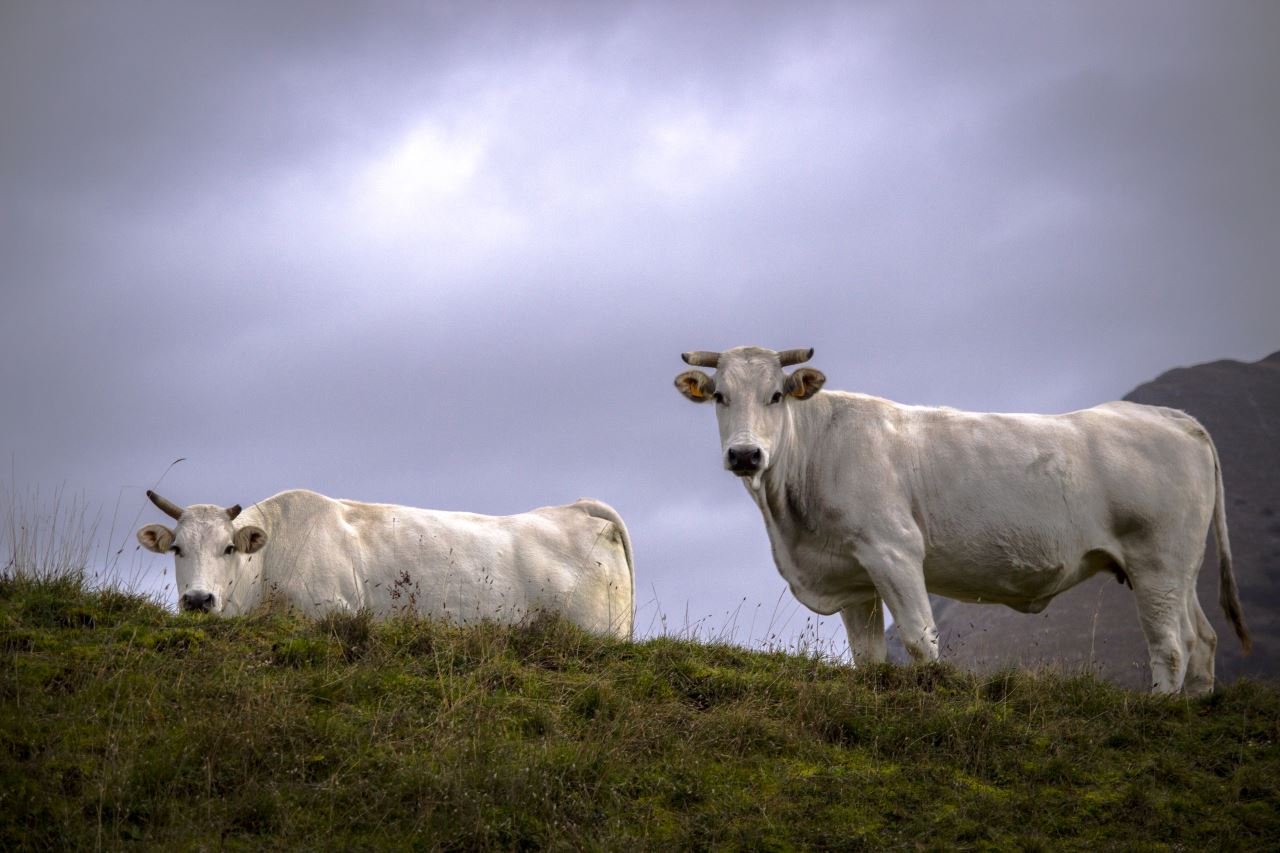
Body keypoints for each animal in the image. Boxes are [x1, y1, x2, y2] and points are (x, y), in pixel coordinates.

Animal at [680, 343, 1249, 691]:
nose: (746, 454)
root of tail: (1172, 417)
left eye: (776, 395)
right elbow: (868, 658)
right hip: (1178, 569)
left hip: (1157, 561)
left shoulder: (894, 550)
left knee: (1170, 647)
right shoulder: (854, 577)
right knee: (1202, 640)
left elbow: (920, 640)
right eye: (719, 396)